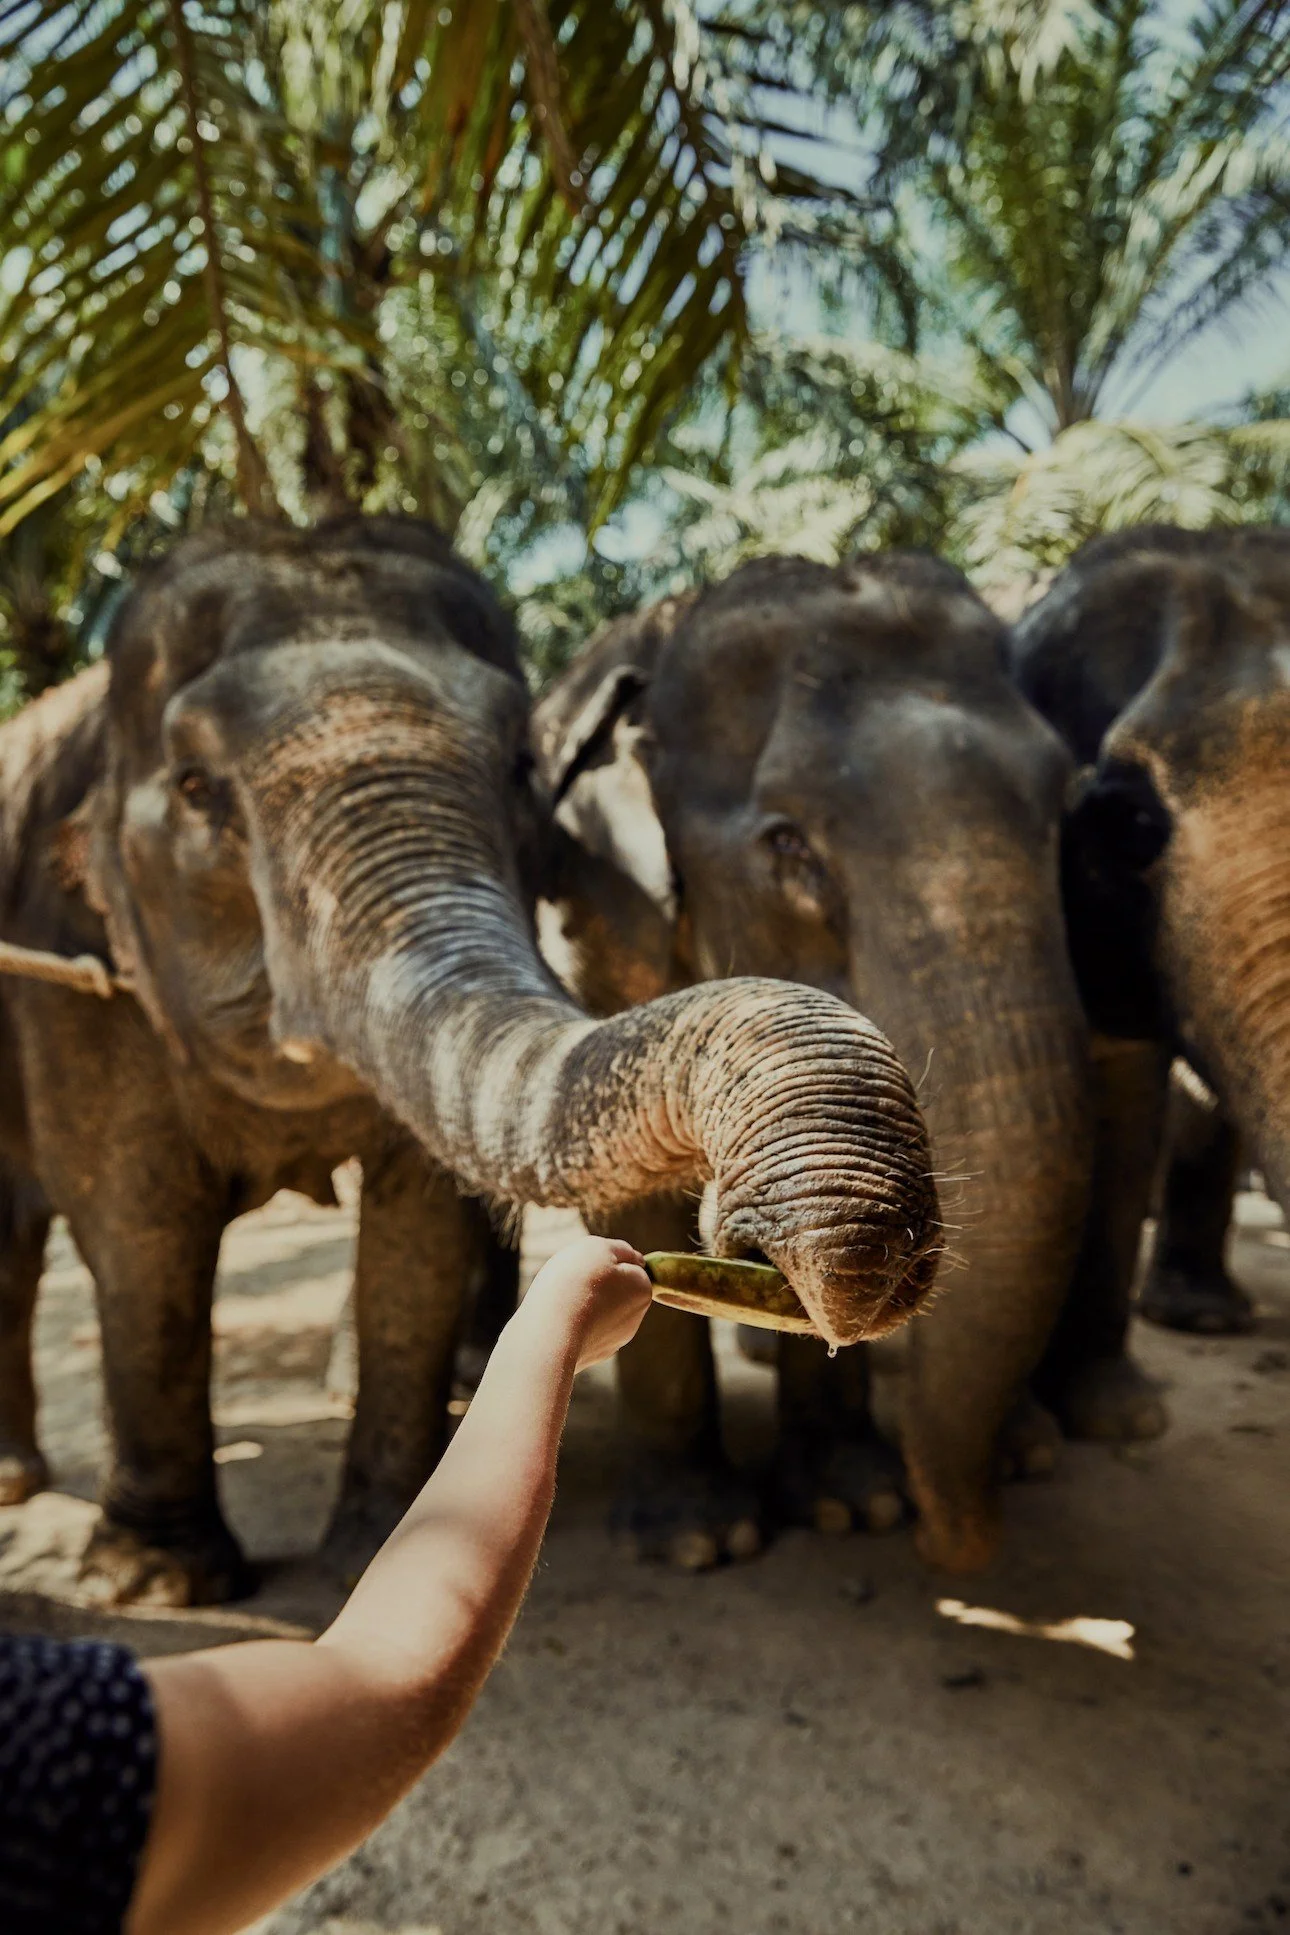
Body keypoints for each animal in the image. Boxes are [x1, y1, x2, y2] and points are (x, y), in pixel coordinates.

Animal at [0, 516, 940, 1608]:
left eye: (523, 770)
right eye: (196, 788)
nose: (760, 1242)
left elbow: (420, 1229)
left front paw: (376, 1548)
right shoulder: (73, 978)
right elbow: (142, 1231)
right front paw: (155, 1584)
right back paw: (25, 1485)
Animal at [534, 551, 1100, 1574]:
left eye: (1064, 814)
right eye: (788, 845)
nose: (953, 1543)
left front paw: (855, 1506)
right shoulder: (600, 919)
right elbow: (624, 1186)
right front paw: (700, 1540)